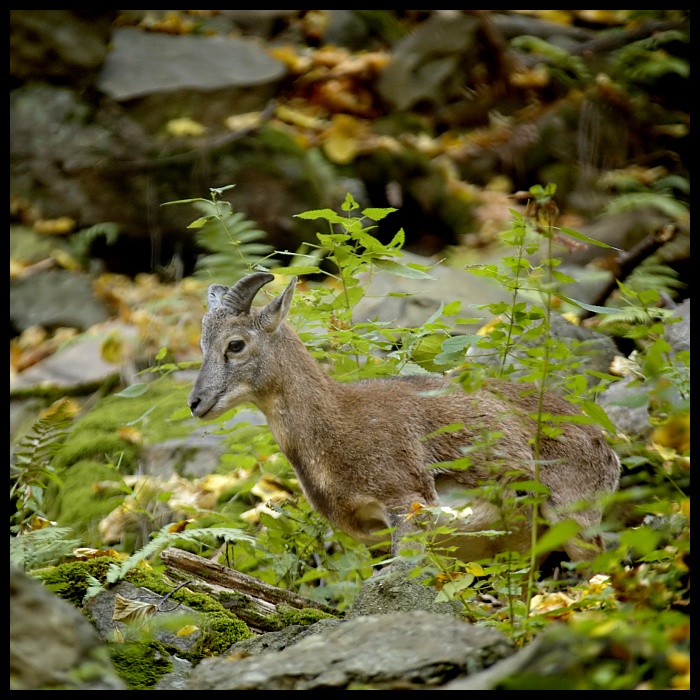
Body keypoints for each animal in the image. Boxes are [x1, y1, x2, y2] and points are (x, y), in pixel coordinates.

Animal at [190, 272, 616, 564]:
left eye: (235, 344)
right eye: (202, 345)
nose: (196, 402)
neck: (337, 423)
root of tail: (605, 442)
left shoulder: (407, 501)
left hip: (574, 514)